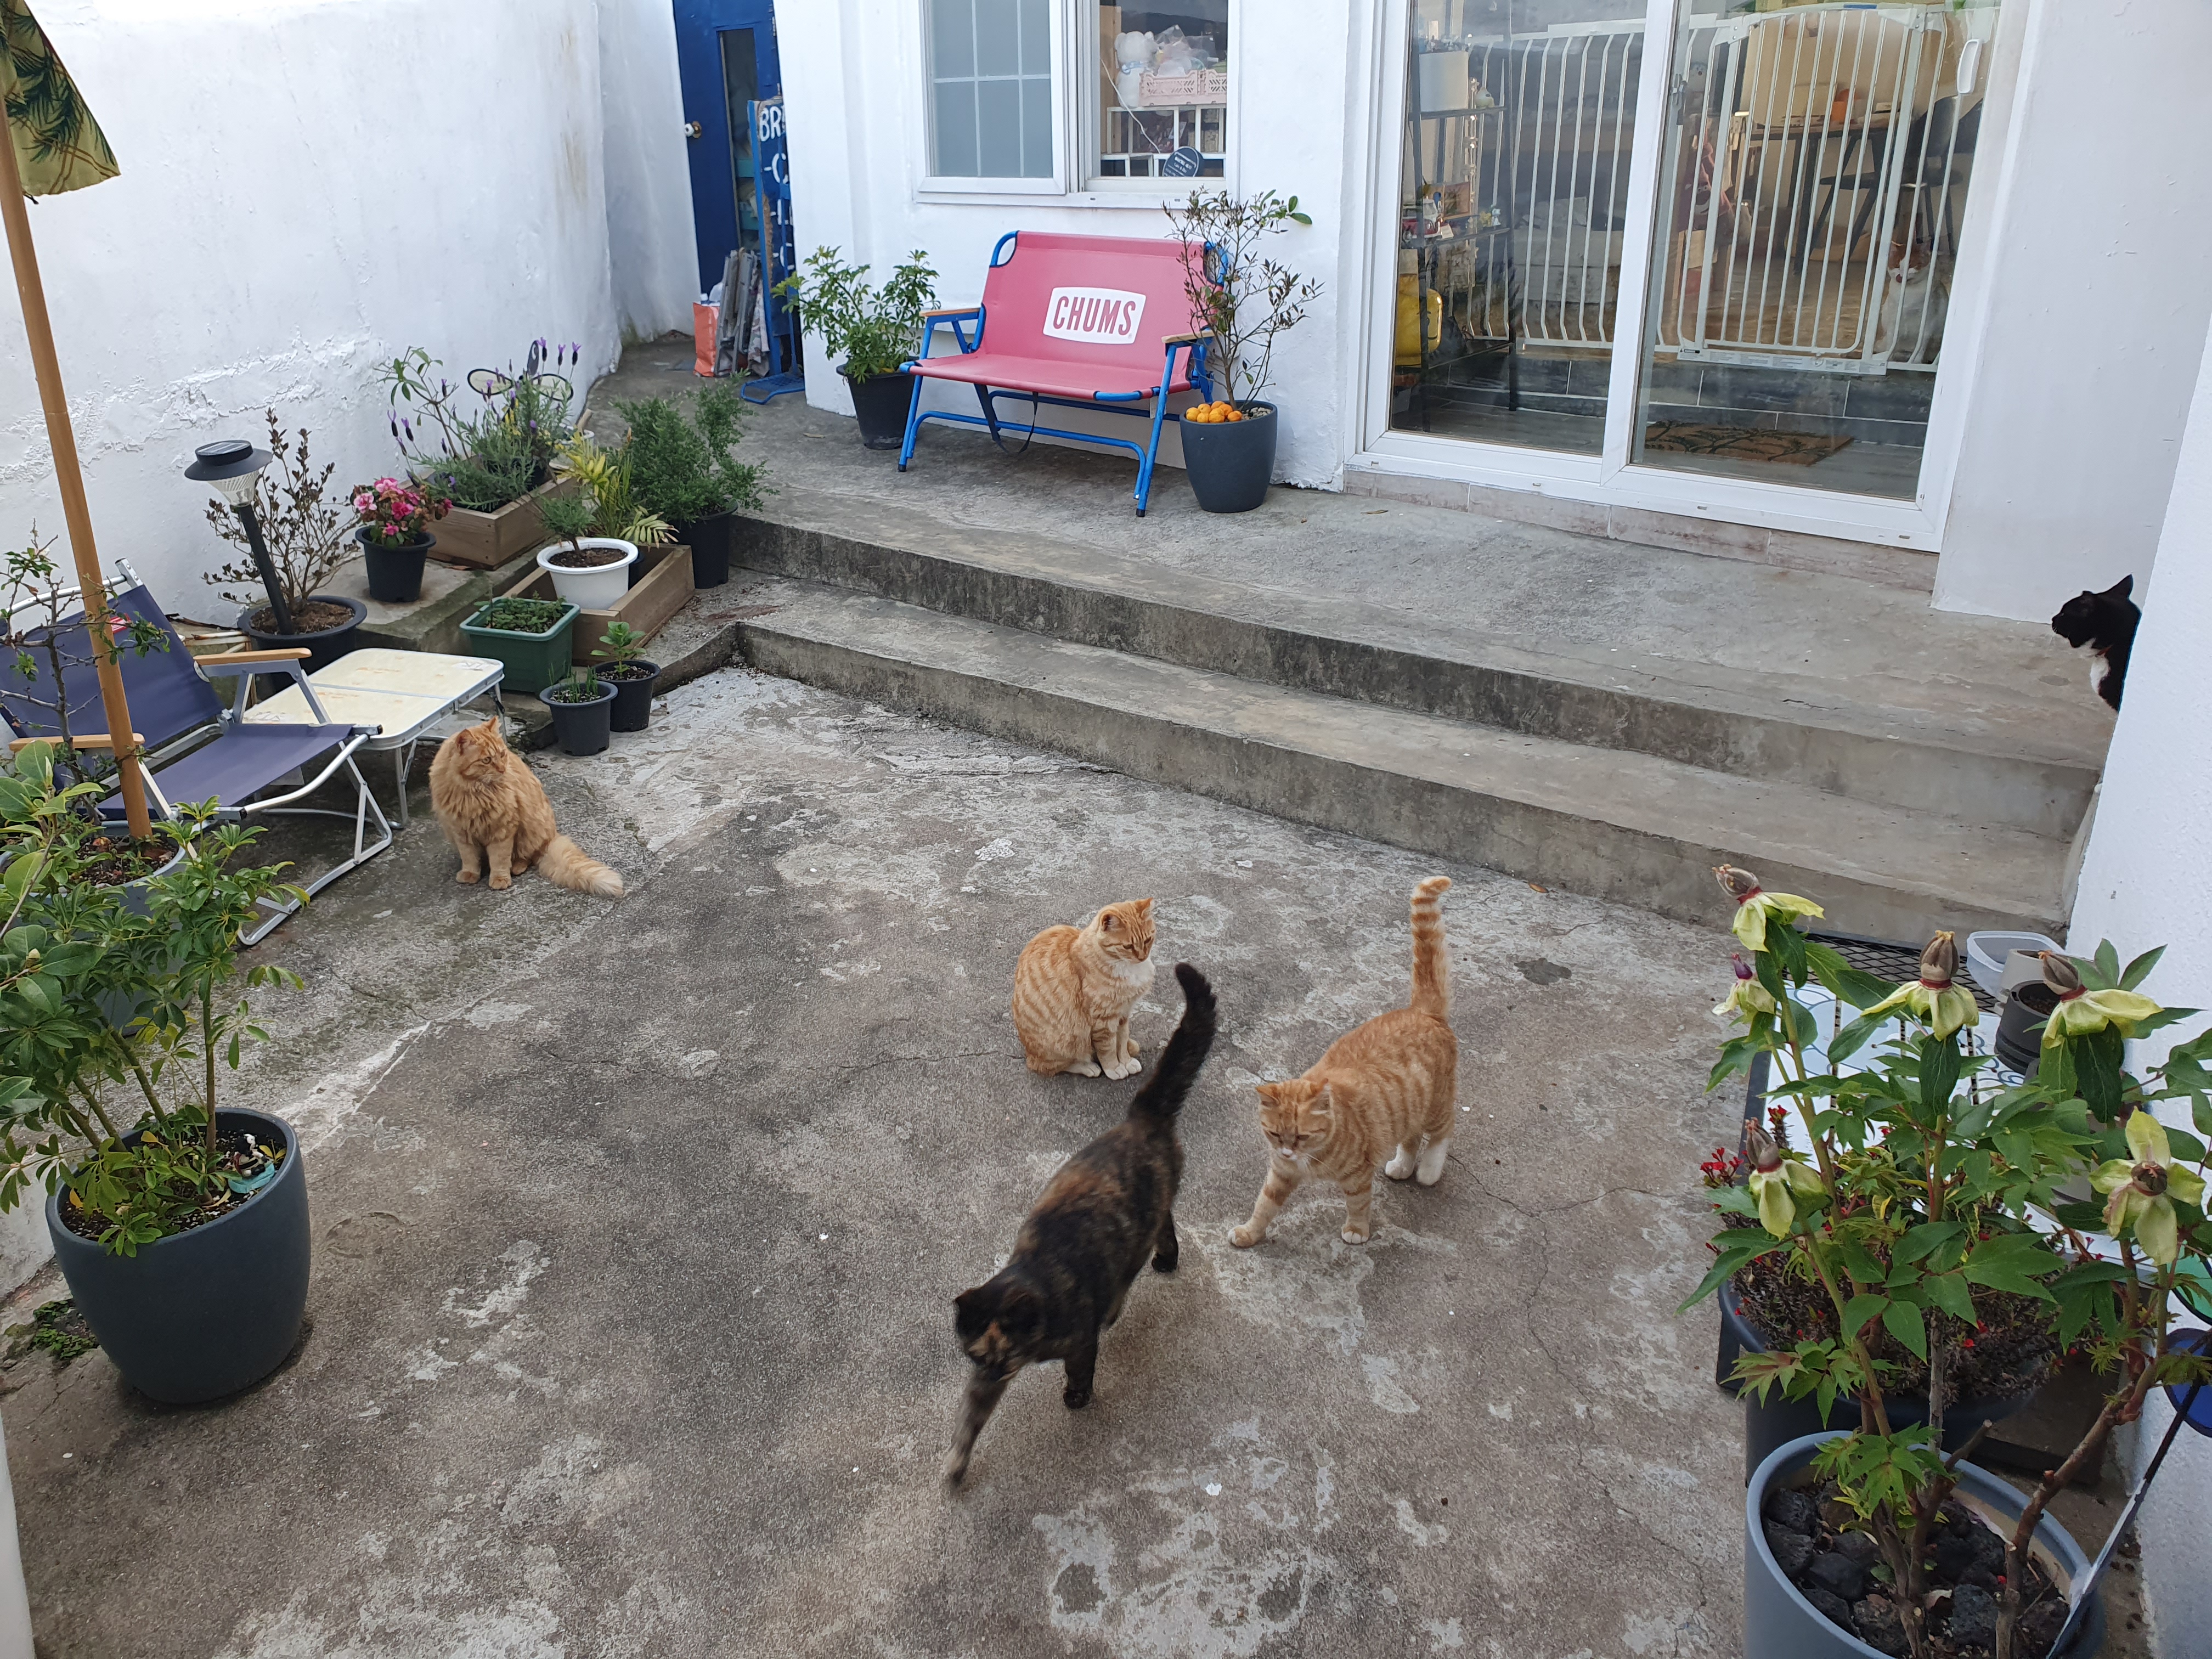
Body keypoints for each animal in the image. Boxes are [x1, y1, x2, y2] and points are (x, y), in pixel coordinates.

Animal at [428, 718, 624, 896]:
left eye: (502, 754)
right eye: (487, 760)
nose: (502, 769)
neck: (474, 793)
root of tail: (551, 837)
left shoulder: (503, 830)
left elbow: (499, 859)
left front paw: (500, 879)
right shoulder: (460, 831)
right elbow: (469, 858)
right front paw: (470, 874)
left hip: (530, 831)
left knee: (527, 858)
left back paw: (516, 868)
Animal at [946, 963, 1216, 1487]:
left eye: (1006, 1358)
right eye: (976, 1359)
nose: (989, 1378)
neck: (1036, 1279)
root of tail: (1140, 1116)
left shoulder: (1079, 1341)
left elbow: (1080, 1369)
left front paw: (1077, 1398)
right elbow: (968, 1422)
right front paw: (956, 1463)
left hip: (1150, 1217)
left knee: (1163, 1230)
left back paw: (1161, 1265)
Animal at [1012, 899, 1155, 1079]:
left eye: (1148, 940)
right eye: (1128, 946)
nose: (1142, 957)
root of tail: (1028, 1053)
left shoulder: (1123, 1013)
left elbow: (1122, 1041)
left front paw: (1126, 1061)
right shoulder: (1103, 1020)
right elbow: (1108, 1049)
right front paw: (1114, 1068)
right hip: (1067, 1040)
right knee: (1050, 1066)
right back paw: (1088, 1067)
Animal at [1231, 877, 1457, 1249]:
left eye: (1303, 1136)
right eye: (1276, 1134)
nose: (1288, 1153)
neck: (1310, 1159)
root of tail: (1421, 1011)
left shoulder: (1357, 1174)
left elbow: (1359, 1203)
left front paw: (1357, 1230)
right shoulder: (1280, 1174)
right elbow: (1263, 1206)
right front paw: (1250, 1232)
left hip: (1436, 1105)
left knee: (1442, 1133)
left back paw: (1428, 1171)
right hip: (1407, 1106)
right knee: (1411, 1138)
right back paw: (1403, 1165)